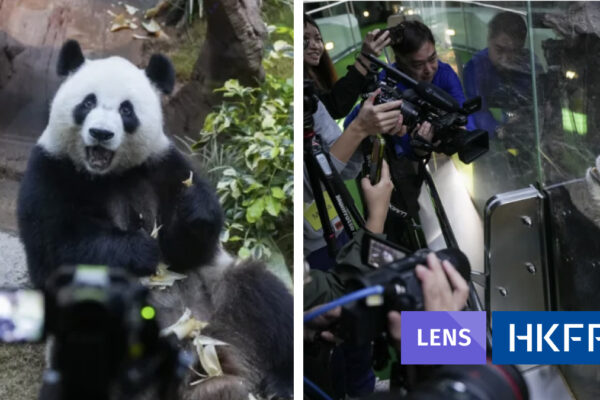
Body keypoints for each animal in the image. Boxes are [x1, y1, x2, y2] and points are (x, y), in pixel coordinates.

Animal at [16, 39, 292, 396]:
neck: (108, 175)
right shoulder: (49, 172)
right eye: (88, 102)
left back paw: (280, 382)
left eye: (126, 110)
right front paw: (137, 250)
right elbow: (55, 251)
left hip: (225, 297)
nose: (101, 134)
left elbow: (188, 249)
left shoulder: (163, 165)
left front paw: (193, 212)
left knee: (264, 298)